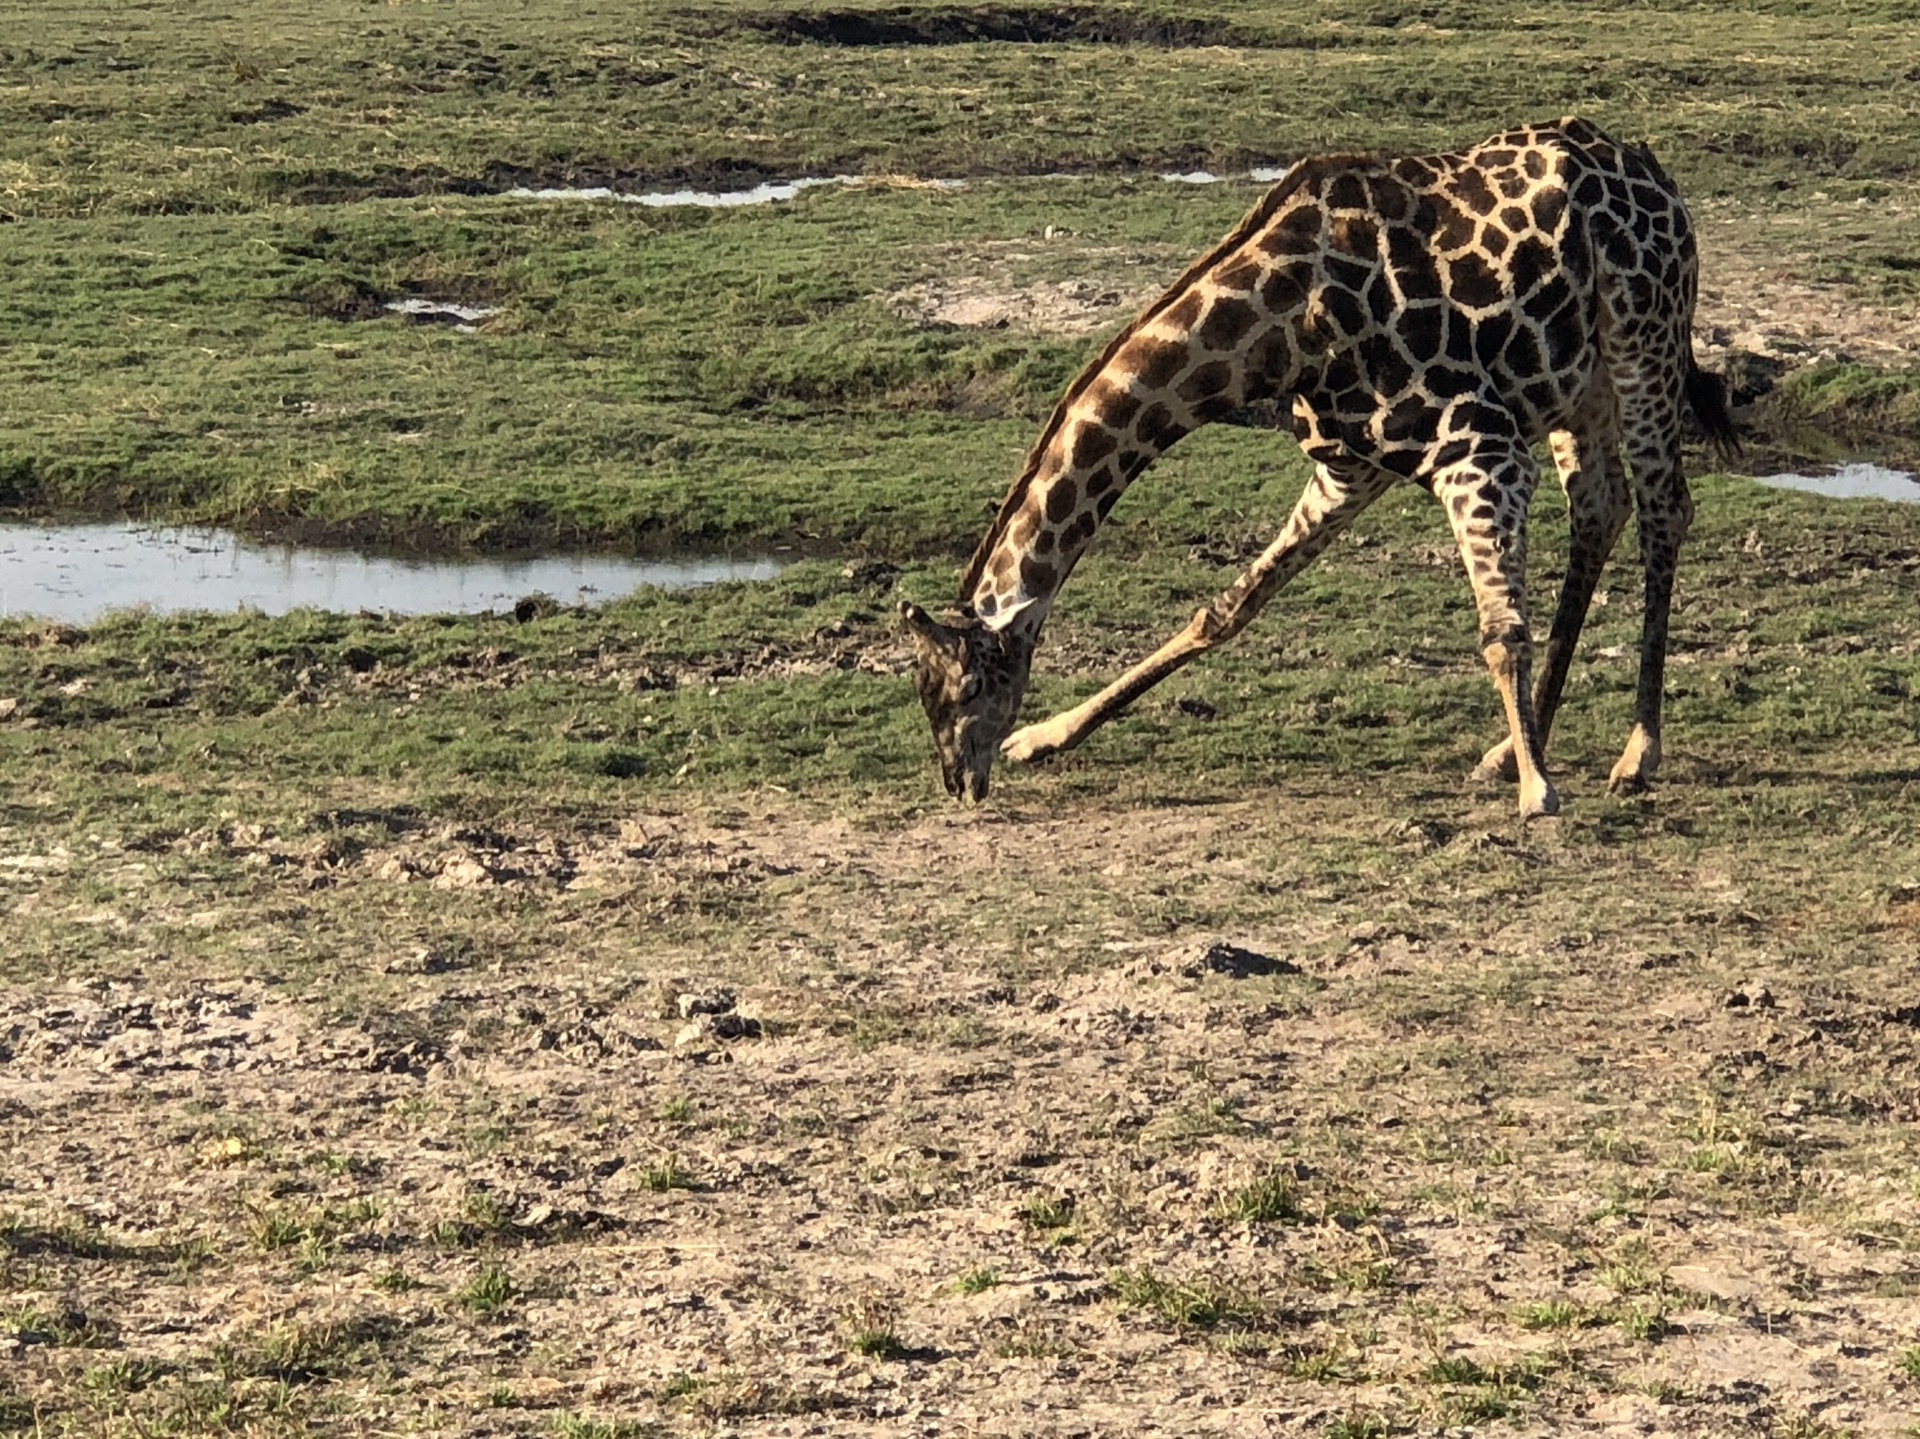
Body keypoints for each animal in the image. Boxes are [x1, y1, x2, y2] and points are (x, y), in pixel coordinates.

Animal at [906, 117, 1735, 814]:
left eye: (969, 683)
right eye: (925, 690)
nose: (959, 780)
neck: (1279, 328)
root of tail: (1654, 172)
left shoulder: (1480, 447)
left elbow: (1500, 629)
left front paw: (1539, 792)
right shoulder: (1349, 469)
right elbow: (1225, 610)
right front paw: (1043, 737)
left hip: (1644, 338)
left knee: (1664, 508)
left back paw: (1635, 752)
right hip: (1576, 385)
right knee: (1600, 504)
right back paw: (1512, 746)